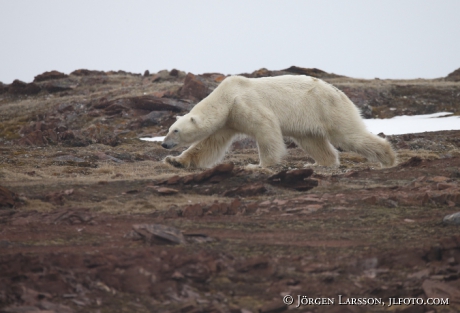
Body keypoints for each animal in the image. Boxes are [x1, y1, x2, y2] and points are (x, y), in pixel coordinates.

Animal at [161, 75, 396, 168]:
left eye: (176, 131)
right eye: (170, 129)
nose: (164, 144)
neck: (227, 97)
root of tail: (340, 93)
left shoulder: (245, 105)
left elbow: (267, 129)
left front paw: (259, 165)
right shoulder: (228, 120)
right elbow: (208, 145)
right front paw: (175, 161)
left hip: (328, 108)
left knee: (349, 135)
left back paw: (388, 158)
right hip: (309, 121)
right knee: (313, 142)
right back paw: (319, 162)